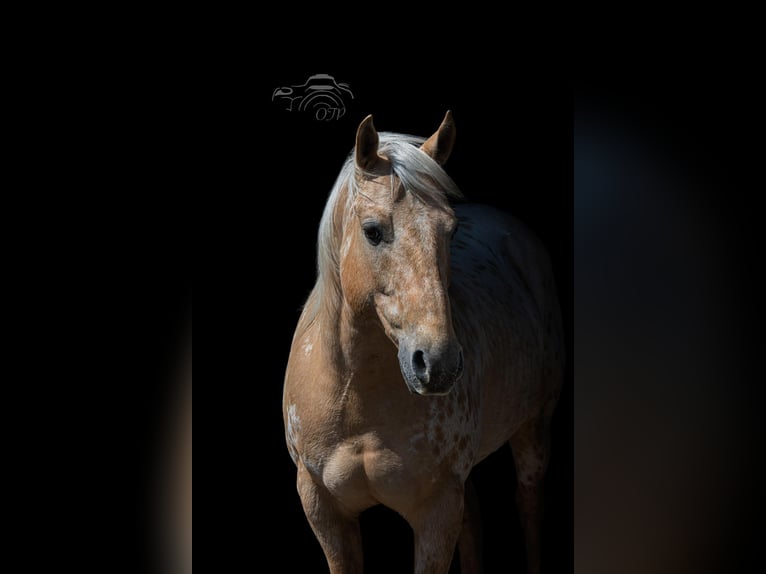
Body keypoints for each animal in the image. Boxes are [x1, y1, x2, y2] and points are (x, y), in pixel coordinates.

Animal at [284, 112, 568, 574]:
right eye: (373, 231)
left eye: (450, 232)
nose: (438, 363)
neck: (356, 397)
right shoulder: (323, 509)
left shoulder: (436, 513)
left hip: (534, 430)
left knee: (529, 509)